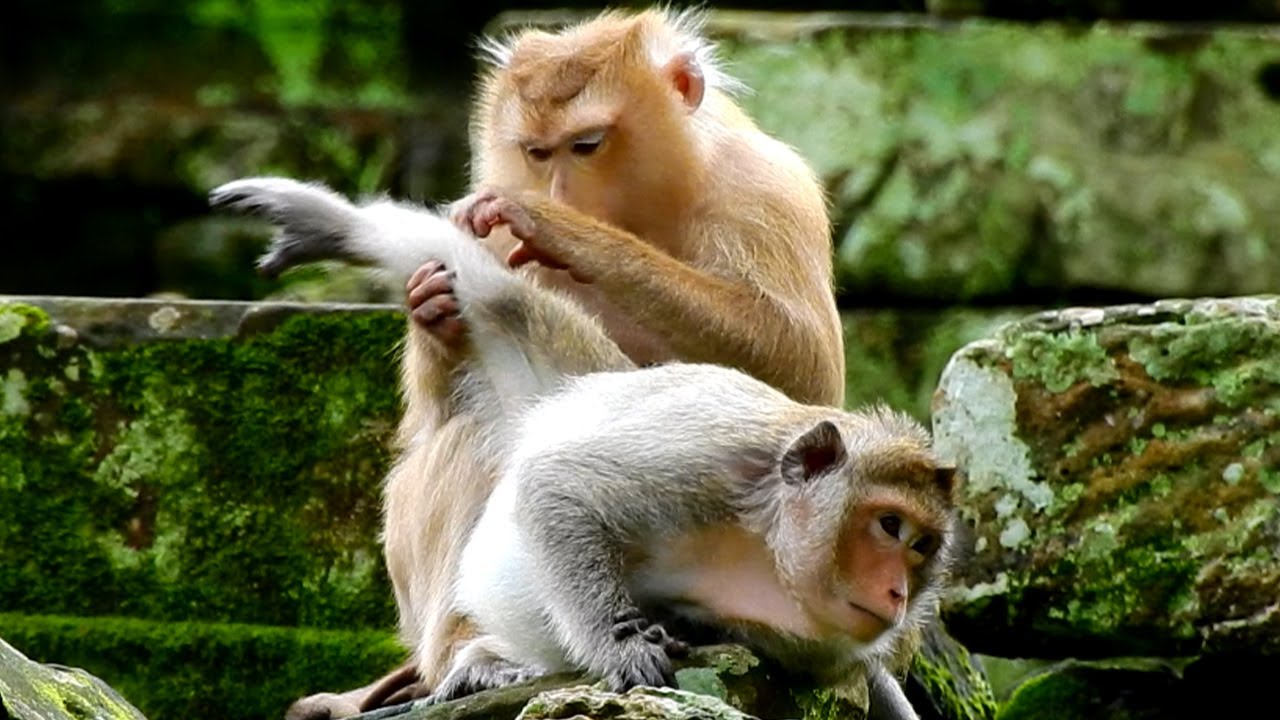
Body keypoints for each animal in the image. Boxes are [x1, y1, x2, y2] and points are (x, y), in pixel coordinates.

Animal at [209, 176, 956, 720]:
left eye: (921, 547)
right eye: (888, 526)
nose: (896, 592)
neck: (768, 548)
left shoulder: (820, 643)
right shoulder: (716, 458)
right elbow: (559, 489)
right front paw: (621, 645)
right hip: (557, 374)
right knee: (493, 296)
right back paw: (332, 225)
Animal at [211, 8, 849, 718]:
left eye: (588, 144)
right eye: (538, 152)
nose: (560, 192)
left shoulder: (764, 190)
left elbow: (800, 371)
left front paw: (561, 230)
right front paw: (430, 305)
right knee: (471, 429)